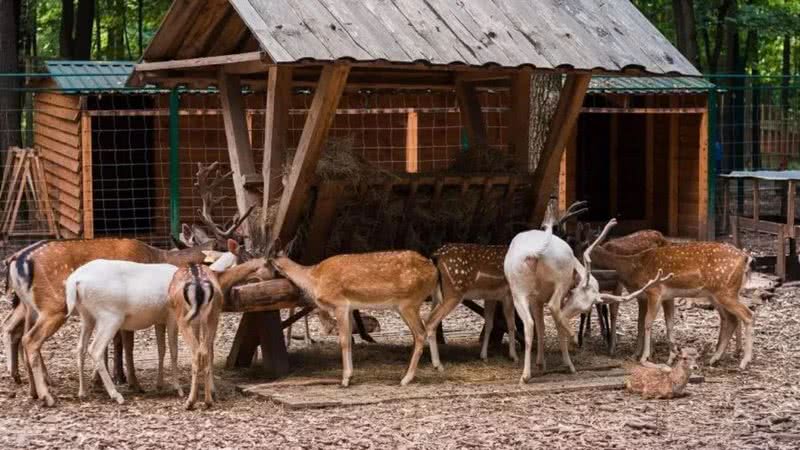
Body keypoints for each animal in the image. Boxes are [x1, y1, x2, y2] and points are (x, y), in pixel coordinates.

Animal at [169, 253, 268, 412]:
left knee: (197, 352)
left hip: (183, 316)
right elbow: (210, 352)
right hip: (213, 313)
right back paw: (208, 400)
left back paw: (190, 402)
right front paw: (213, 391)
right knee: (204, 351)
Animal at [274, 250, 438, 386]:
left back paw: (406, 379)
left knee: (421, 333)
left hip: (409, 303)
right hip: (406, 306)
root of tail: (434, 271)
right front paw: (350, 376)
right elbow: (349, 339)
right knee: (424, 329)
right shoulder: (349, 308)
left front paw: (345, 379)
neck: (314, 279)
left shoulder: (339, 304)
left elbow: (344, 341)